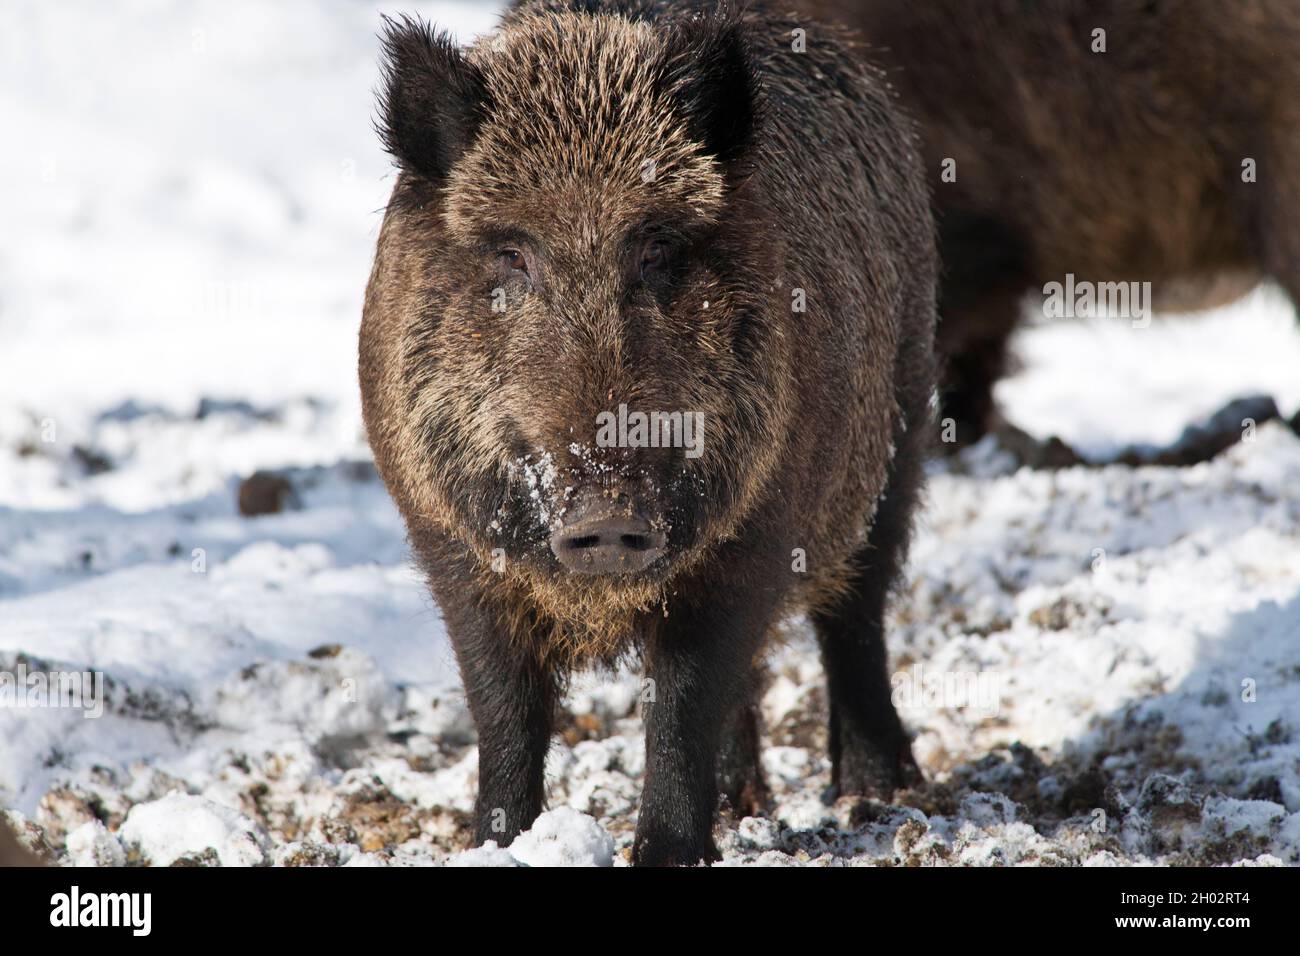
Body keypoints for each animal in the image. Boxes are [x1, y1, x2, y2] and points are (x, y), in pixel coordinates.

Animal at [358, 0, 936, 865]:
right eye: (511, 254)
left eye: (657, 248)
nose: (608, 513)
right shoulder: (446, 537)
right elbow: (503, 707)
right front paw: (499, 841)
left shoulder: (756, 533)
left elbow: (682, 707)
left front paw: (668, 852)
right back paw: (746, 806)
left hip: (900, 433)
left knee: (856, 614)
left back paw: (877, 797)